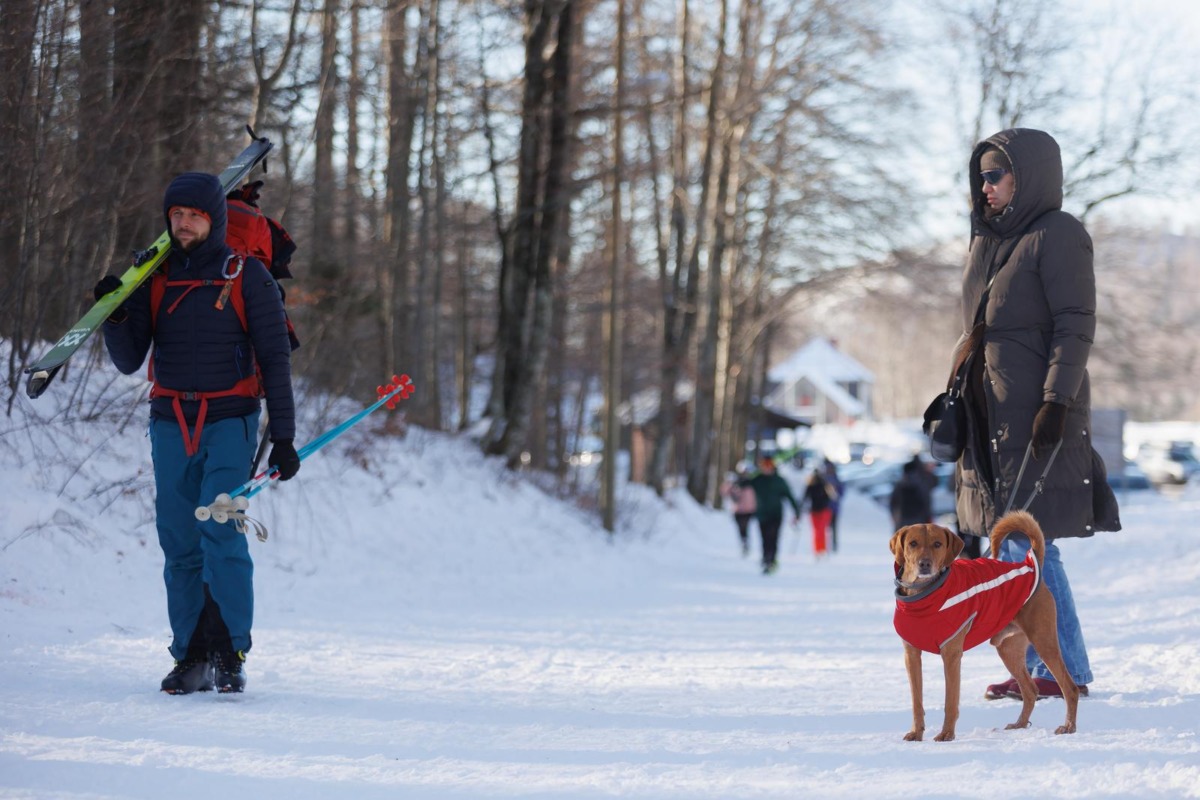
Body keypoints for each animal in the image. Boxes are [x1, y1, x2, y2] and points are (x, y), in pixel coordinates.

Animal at [892, 513, 1080, 743]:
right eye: (913, 543)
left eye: (937, 544)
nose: (924, 564)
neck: (923, 597)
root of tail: (1030, 566)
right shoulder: (911, 655)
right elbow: (916, 702)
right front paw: (917, 733)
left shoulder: (951, 655)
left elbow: (950, 701)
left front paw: (947, 734)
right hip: (1009, 650)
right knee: (1030, 690)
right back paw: (1019, 724)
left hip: (1044, 642)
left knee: (1069, 688)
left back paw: (1068, 726)